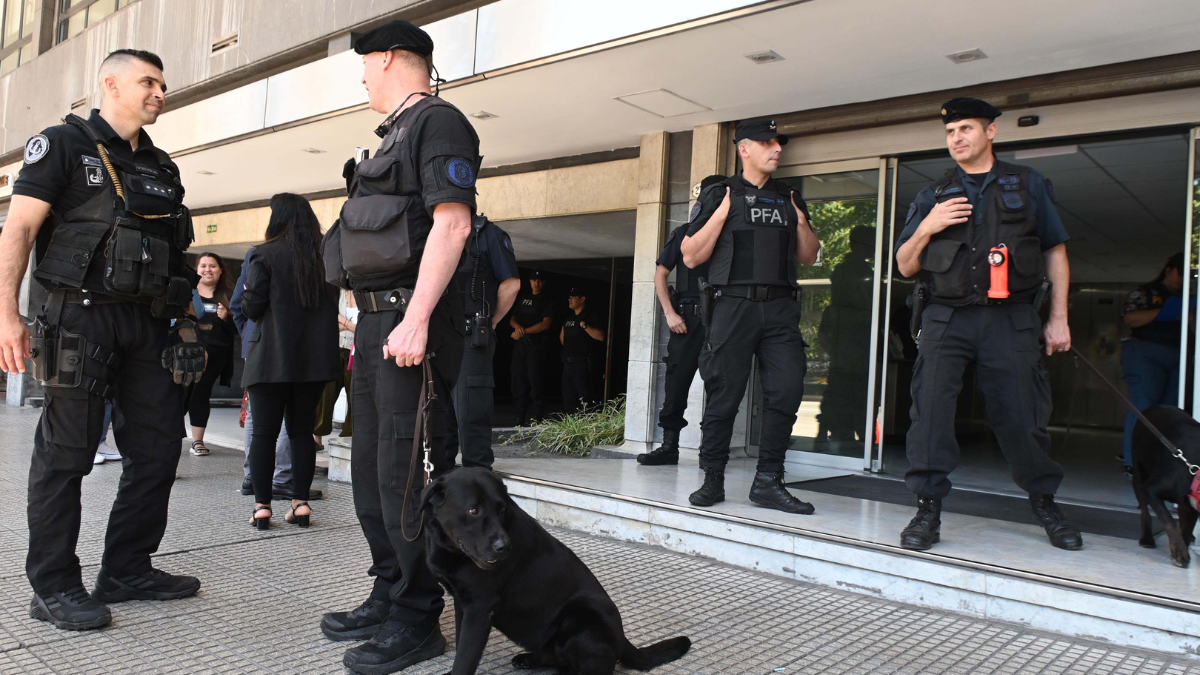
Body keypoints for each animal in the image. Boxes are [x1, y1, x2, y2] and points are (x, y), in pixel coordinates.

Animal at [420, 468, 691, 672]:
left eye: (502, 509)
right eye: (473, 510)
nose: (504, 547)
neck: (452, 550)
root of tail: (622, 639)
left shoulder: (479, 608)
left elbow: (465, 657)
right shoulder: (462, 603)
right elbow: (461, 643)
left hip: (581, 618)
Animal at [1132, 401, 1200, 564]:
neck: (1194, 471)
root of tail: (1157, 406)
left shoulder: (1191, 505)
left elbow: (1186, 529)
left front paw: (1183, 549)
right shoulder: (1151, 489)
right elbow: (1170, 521)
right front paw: (1179, 552)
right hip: (1138, 471)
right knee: (1145, 511)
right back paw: (1147, 539)